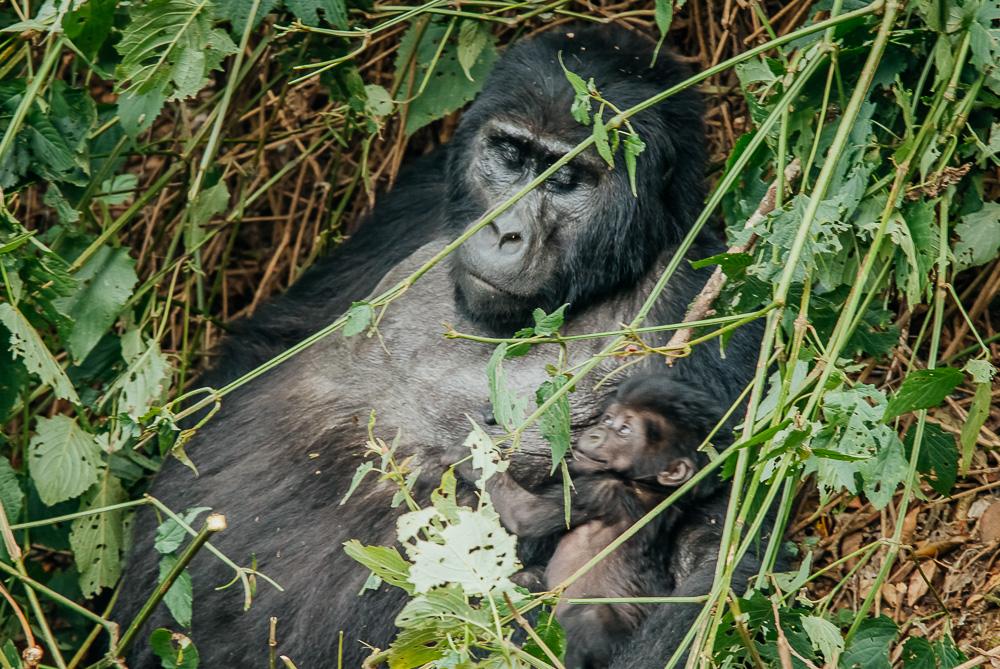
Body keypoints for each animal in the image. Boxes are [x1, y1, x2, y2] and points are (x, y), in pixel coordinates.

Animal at [494, 376, 724, 668]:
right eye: (608, 419)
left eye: (624, 430)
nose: (595, 433)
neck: (650, 486)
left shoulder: (604, 489)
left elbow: (523, 515)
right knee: (528, 581)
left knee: (590, 616)